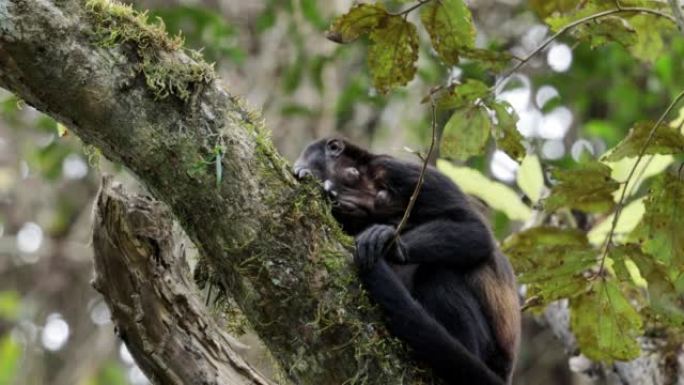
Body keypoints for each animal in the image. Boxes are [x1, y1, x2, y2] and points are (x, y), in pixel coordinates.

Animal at [292, 138, 520, 384]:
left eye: (321, 179)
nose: (334, 196)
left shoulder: (401, 172)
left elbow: (475, 230)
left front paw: (391, 243)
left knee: (438, 276)